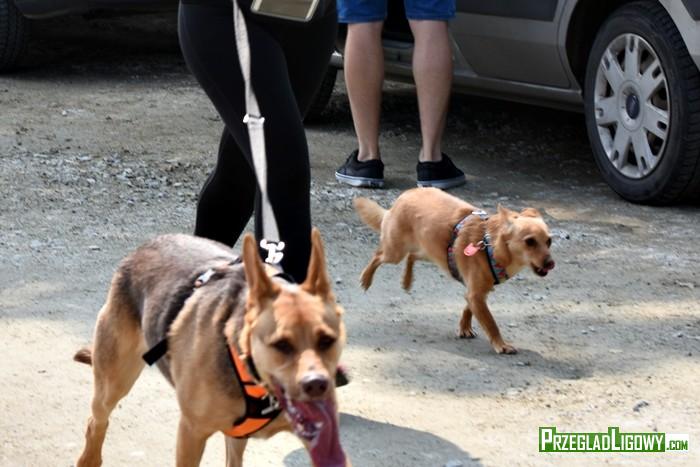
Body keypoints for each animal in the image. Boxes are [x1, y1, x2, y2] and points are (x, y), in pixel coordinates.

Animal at [73, 229, 350, 467]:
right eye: (281, 344)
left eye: (327, 340)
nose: (317, 385)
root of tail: (145, 246)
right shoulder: (191, 433)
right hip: (113, 384)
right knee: (96, 421)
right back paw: (89, 460)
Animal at [354, 188, 554, 354]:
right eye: (530, 242)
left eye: (549, 241)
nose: (551, 263)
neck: (490, 243)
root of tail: (404, 195)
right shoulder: (476, 294)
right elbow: (491, 323)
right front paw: (501, 345)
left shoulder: (477, 293)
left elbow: (468, 309)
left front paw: (464, 328)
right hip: (394, 252)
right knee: (378, 256)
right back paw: (366, 279)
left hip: (431, 252)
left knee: (412, 256)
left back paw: (407, 281)